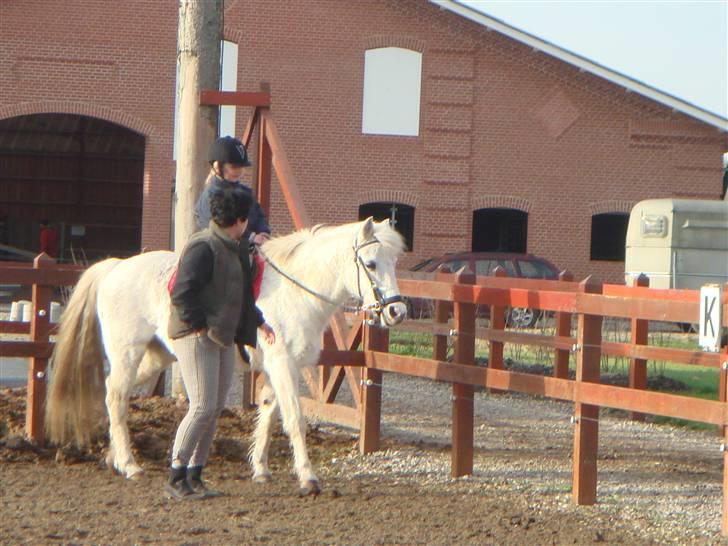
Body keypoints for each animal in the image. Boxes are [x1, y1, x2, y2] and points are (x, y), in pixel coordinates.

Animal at [45, 218, 406, 494]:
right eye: (371, 264)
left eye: (394, 263)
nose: (396, 312)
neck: (296, 292)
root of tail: (116, 268)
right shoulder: (282, 364)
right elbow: (294, 418)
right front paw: (308, 477)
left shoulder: (277, 368)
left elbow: (268, 412)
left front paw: (260, 469)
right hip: (127, 353)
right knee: (117, 396)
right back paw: (130, 464)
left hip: (155, 357)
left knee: (112, 394)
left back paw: (114, 457)